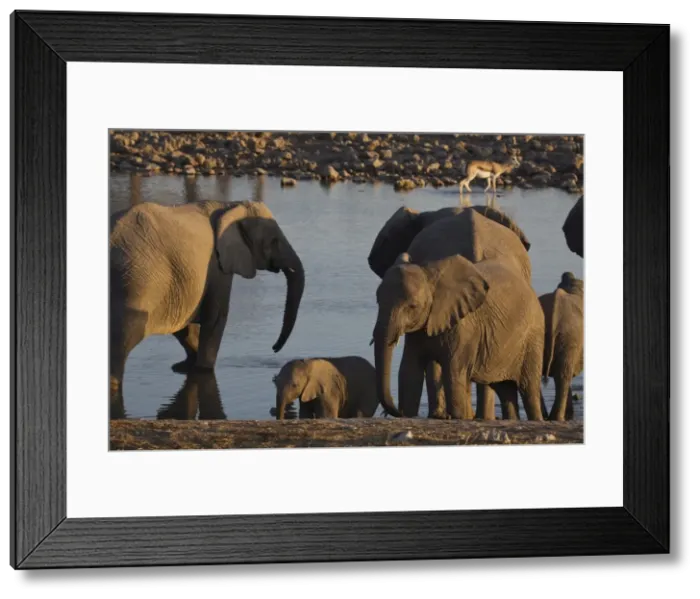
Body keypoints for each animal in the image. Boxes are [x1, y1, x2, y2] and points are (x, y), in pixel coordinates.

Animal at [109, 199, 305, 393]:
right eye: (274, 241)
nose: (274, 349)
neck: (230, 205)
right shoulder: (217, 266)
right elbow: (216, 318)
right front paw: (201, 369)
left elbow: (185, 327)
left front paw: (183, 366)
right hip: (136, 281)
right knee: (125, 336)